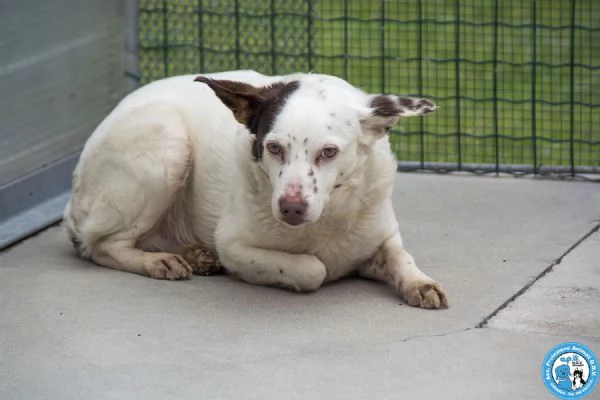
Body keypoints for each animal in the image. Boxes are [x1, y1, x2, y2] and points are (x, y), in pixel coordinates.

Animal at [64, 70, 450, 310]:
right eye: (274, 147)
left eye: (329, 152)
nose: (291, 207)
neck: (325, 221)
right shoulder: (234, 246)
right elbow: (313, 269)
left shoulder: (383, 238)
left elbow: (401, 257)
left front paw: (421, 283)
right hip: (168, 141)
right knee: (102, 246)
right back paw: (159, 261)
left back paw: (192, 255)